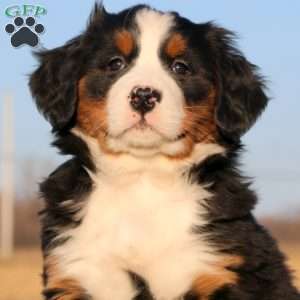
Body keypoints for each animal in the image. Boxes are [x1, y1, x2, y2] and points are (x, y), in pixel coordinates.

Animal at [29, 2, 298, 300]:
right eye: (115, 63)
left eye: (180, 67)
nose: (144, 95)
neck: (143, 178)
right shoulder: (74, 271)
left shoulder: (220, 269)